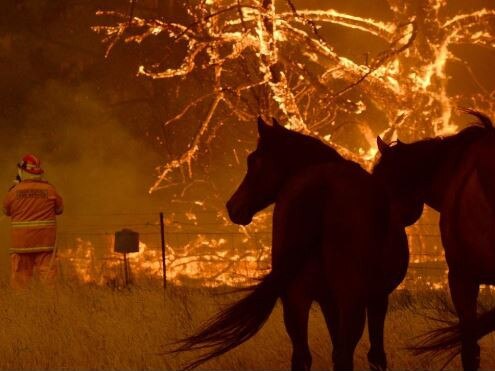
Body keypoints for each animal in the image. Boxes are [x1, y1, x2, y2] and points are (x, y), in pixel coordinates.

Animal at [172, 117, 408, 371]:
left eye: (253, 160)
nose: (232, 207)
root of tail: (322, 184)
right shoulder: (375, 296)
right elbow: (375, 355)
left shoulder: (330, 300)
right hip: (347, 298)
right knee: (342, 355)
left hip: (296, 298)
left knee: (303, 356)